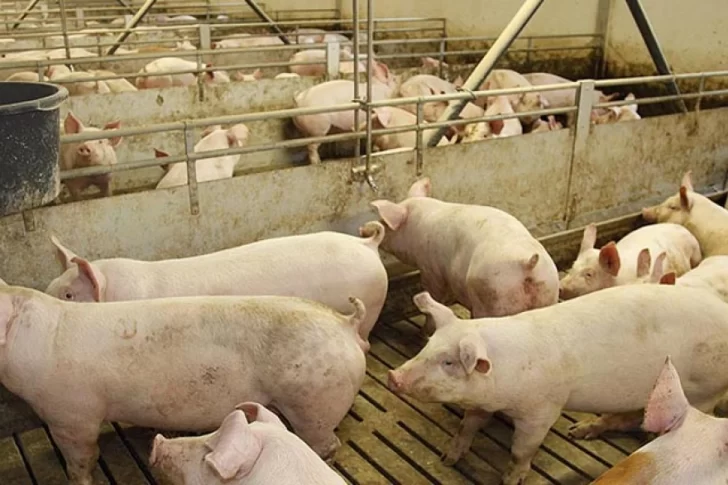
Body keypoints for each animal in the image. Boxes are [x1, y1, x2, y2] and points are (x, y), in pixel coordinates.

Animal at [367, 178, 558, 333]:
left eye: (386, 223)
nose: (364, 228)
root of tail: (526, 262)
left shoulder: (431, 269)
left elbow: (435, 294)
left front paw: (424, 332)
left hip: (495, 296)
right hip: (548, 291)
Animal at [558, 222, 701, 299]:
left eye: (589, 274)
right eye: (572, 267)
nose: (560, 287)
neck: (616, 281)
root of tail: (683, 228)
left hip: (695, 255)